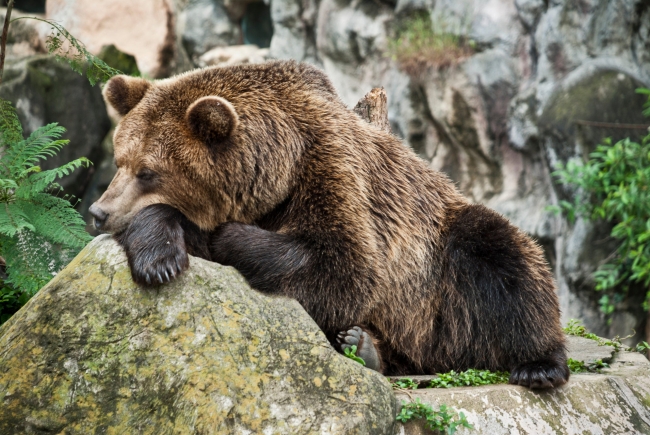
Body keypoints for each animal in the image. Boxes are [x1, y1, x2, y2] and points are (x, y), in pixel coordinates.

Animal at [90, 60, 568, 388]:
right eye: (120, 160)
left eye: (148, 171)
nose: (98, 212)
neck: (278, 167)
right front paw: (159, 258)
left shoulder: (333, 171)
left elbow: (343, 268)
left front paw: (221, 236)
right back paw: (364, 346)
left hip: (439, 274)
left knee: (503, 256)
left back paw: (539, 364)